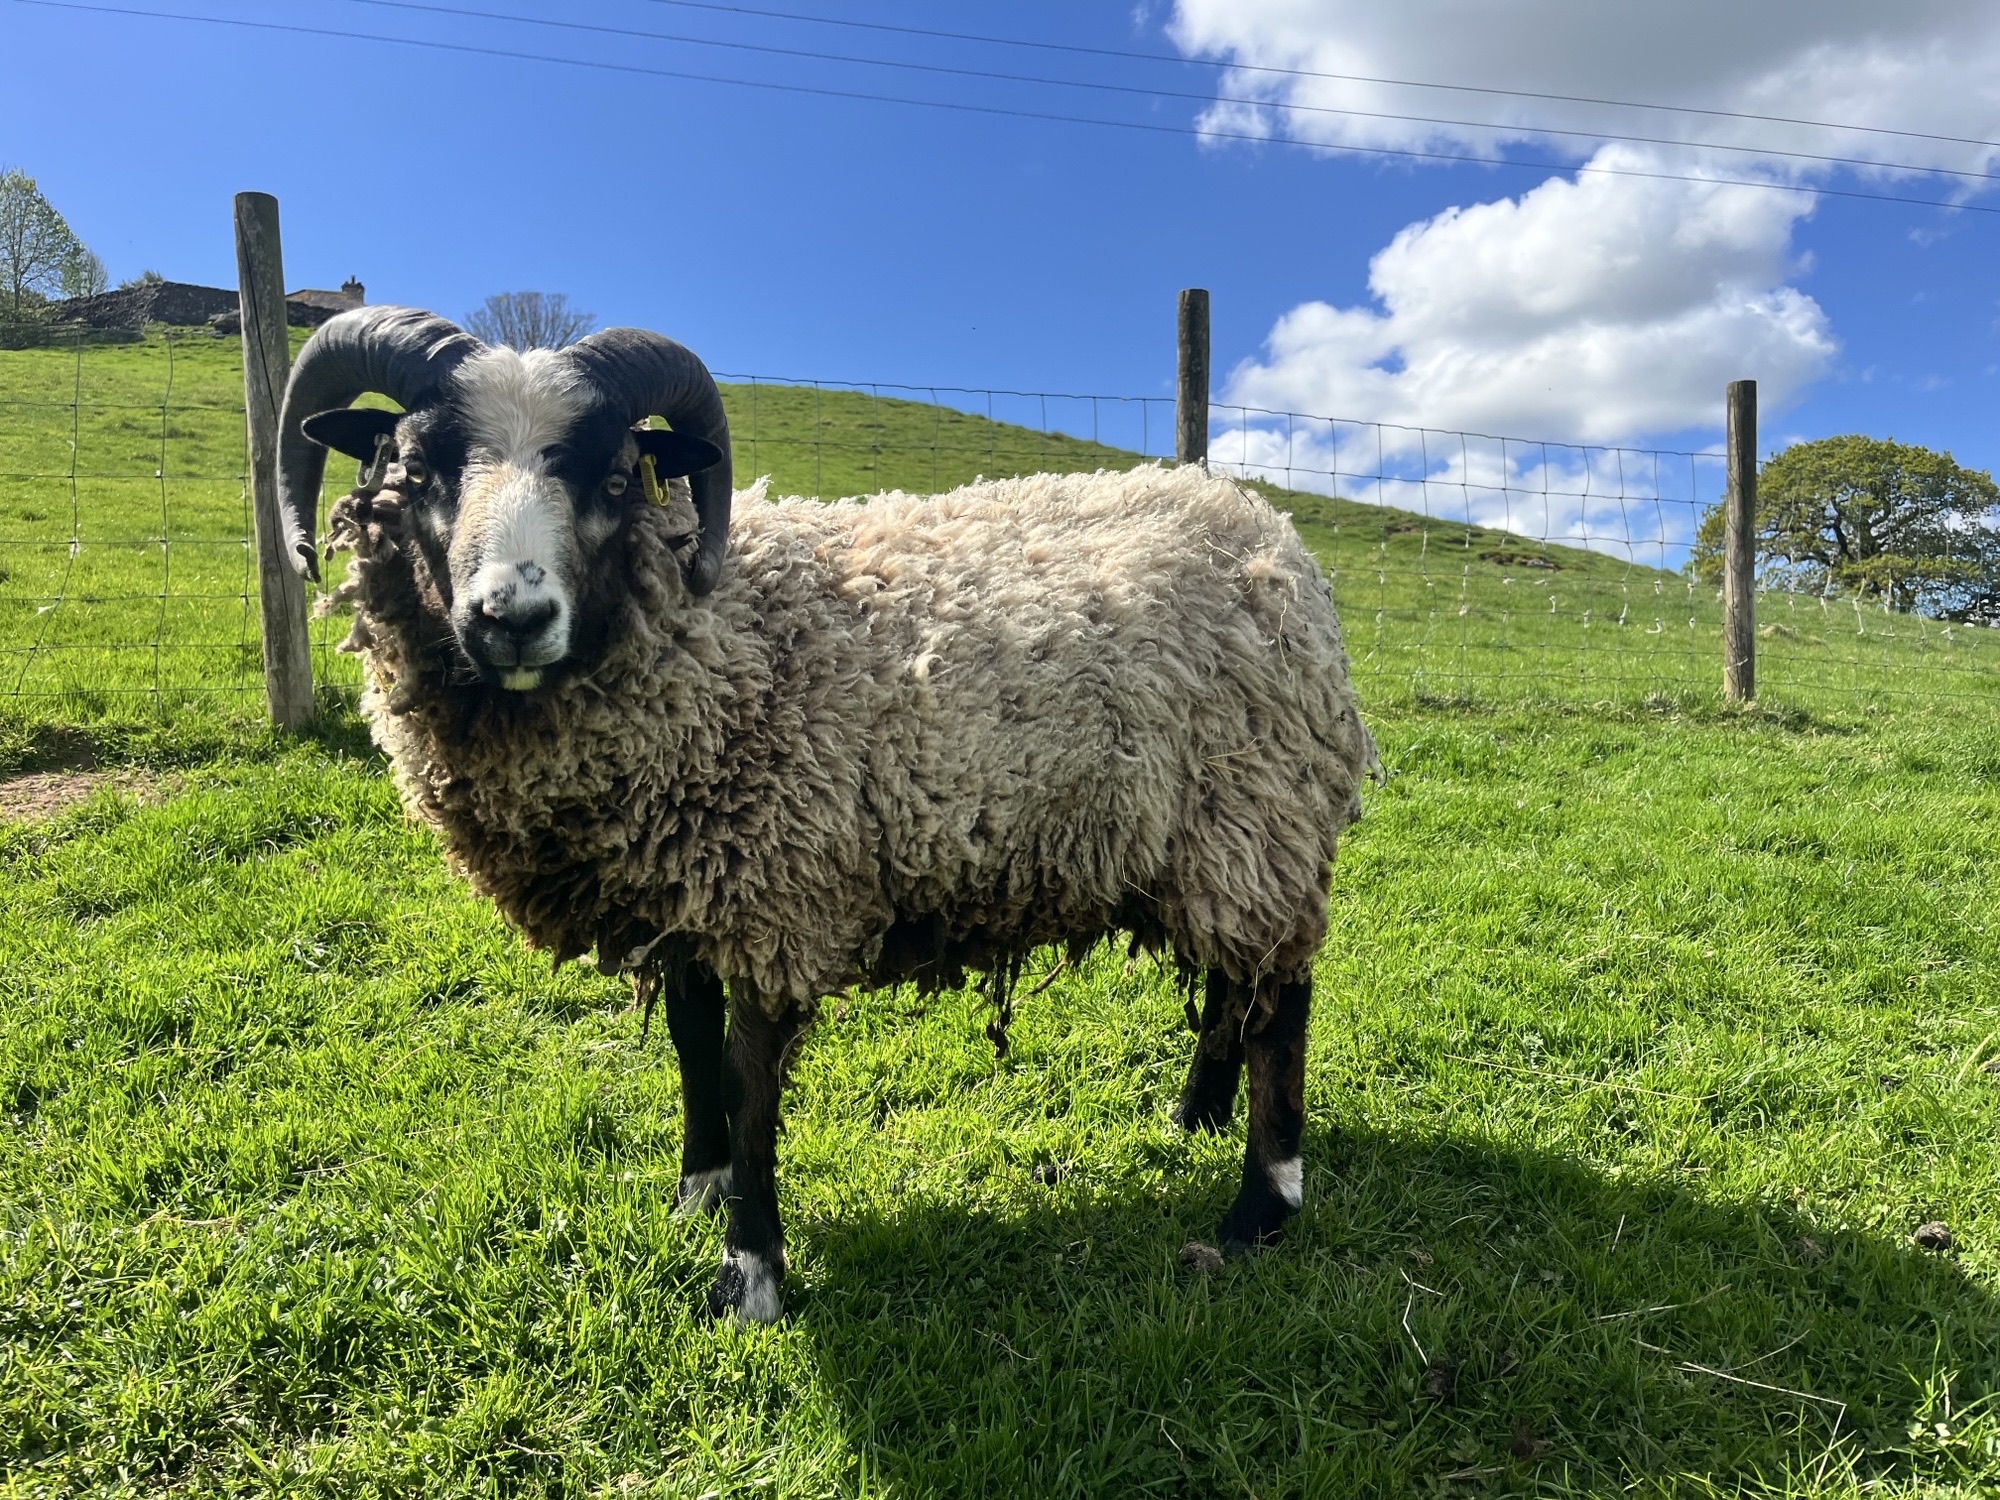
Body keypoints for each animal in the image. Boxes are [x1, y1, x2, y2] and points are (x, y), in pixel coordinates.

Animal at [277, 306, 1380, 1322]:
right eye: (419, 469)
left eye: (609, 478)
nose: (511, 617)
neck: (708, 636)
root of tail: (1264, 528)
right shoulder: (686, 889)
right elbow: (689, 1043)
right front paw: (697, 1189)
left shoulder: (778, 890)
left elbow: (745, 1080)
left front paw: (748, 1271)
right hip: (1208, 842)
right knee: (1233, 983)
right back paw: (1192, 1117)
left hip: (1257, 815)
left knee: (1280, 1000)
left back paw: (1259, 1206)